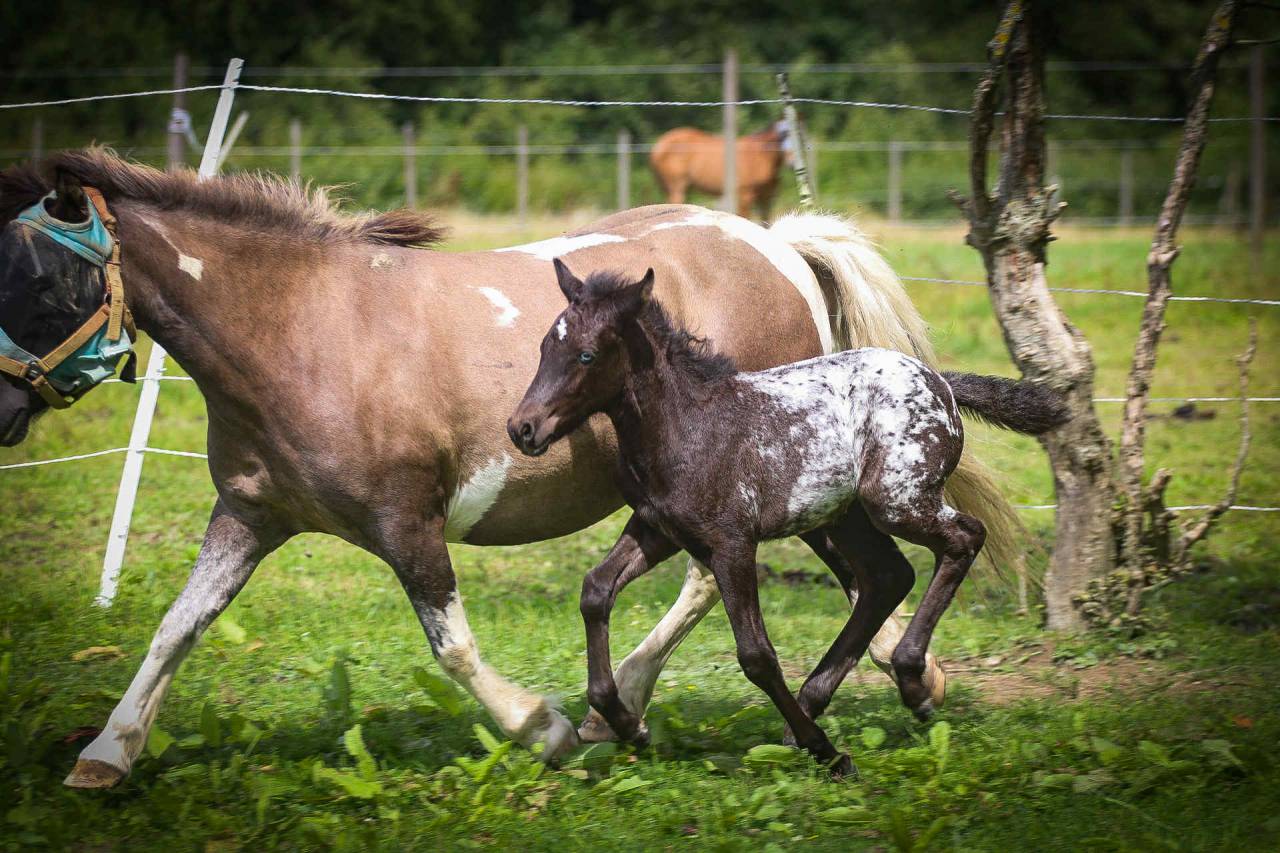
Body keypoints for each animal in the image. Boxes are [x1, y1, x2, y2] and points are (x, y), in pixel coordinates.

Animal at [509, 264, 1068, 775]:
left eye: (586, 354)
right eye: (542, 347)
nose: (522, 428)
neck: (687, 424)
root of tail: (941, 384)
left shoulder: (732, 542)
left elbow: (756, 654)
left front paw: (830, 753)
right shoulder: (657, 529)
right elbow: (595, 590)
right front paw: (628, 724)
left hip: (895, 501)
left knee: (963, 537)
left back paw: (907, 682)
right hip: (844, 518)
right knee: (888, 576)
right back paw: (816, 704)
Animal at [649, 121, 791, 221]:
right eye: (782, 138)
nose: (791, 162)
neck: (760, 155)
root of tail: (659, 146)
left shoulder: (766, 198)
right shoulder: (745, 195)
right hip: (676, 187)